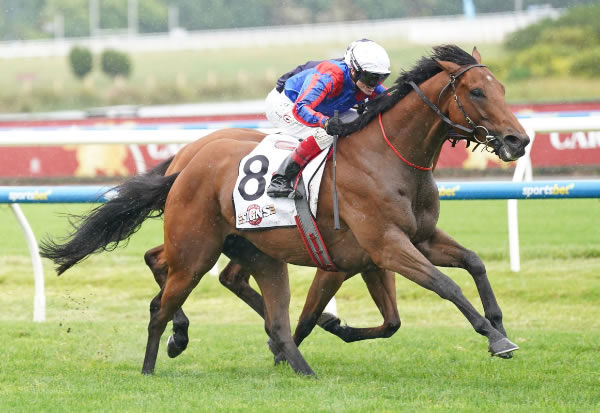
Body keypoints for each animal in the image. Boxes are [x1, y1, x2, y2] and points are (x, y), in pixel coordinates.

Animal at [41, 45, 528, 376]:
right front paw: (495, 338)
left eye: (503, 88)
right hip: (197, 244)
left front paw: (498, 322)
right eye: (478, 91)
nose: (518, 141)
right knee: (167, 268)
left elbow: (469, 266)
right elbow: (445, 285)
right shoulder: (385, 246)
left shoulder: (413, 241)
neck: (388, 159)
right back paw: (177, 337)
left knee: (199, 271)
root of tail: (186, 162)